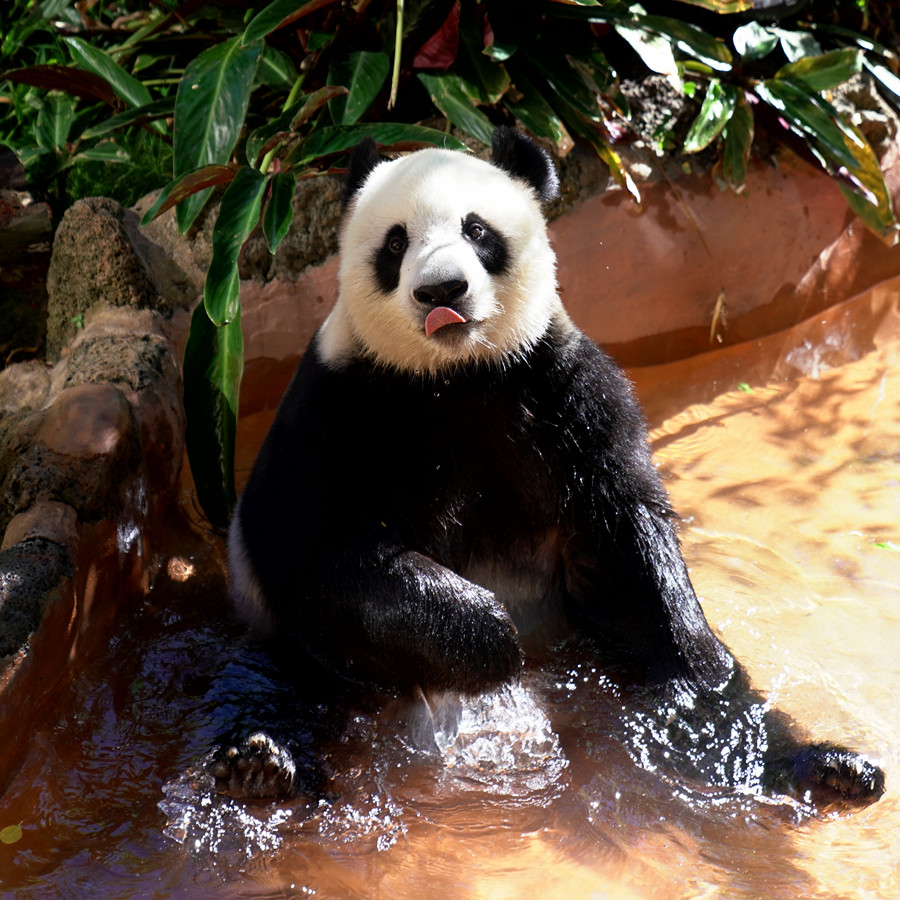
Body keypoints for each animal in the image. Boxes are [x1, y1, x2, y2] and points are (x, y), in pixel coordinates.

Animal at [220, 126, 884, 808]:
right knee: (273, 685)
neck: (453, 377)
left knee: (716, 699)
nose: (441, 292)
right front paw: (485, 638)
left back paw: (823, 768)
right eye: (396, 243)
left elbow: (627, 549)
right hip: (285, 645)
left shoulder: (557, 391)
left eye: (477, 230)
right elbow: (320, 552)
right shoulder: (337, 408)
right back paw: (266, 765)